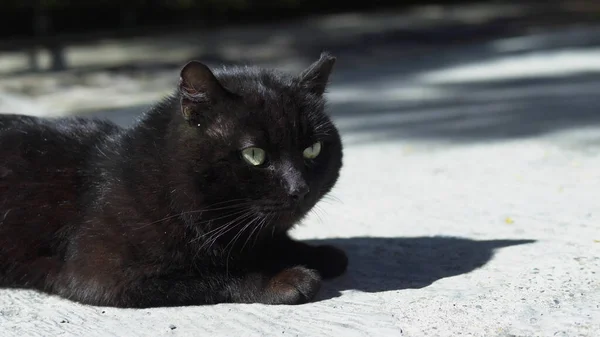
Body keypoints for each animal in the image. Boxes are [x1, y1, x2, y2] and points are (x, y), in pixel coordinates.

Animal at [0, 52, 346, 308]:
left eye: (313, 149)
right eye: (254, 155)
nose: (299, 188)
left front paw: (317, 253)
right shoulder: (103, 272)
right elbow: (216, 275)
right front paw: (284, 280)